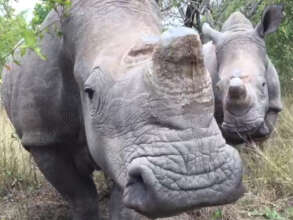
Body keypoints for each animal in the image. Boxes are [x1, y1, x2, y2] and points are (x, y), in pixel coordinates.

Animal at [0, 0, 242, 219]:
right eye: (89, 92)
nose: (199, 181)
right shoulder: (44, 139)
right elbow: (82, 198)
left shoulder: (123, 143)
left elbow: (122, 200)